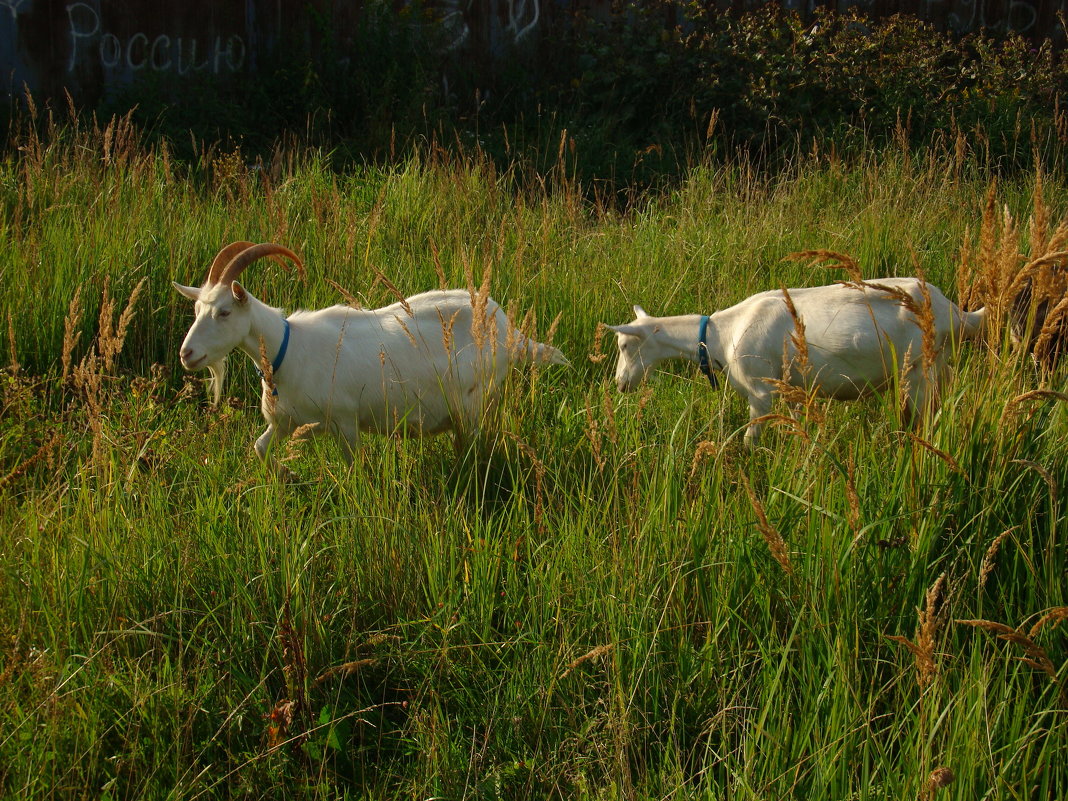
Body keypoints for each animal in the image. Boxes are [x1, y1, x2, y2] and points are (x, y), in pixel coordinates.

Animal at [171, 241, 572, 467]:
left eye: (224, 312)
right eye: (197, 310)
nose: (187, 354)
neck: (288, 349)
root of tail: (508, 329)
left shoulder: (345, 422)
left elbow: (355, 469)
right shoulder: (288, 423)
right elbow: (259, 449)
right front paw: (287, 474)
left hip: (473, 402)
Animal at [606, 277, 986, 448]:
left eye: (624, 345)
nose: (620, 384)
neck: (720, 334)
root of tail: (955, 312)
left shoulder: (760, 391)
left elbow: (751, 437)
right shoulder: (791, 389)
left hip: (921, 372)